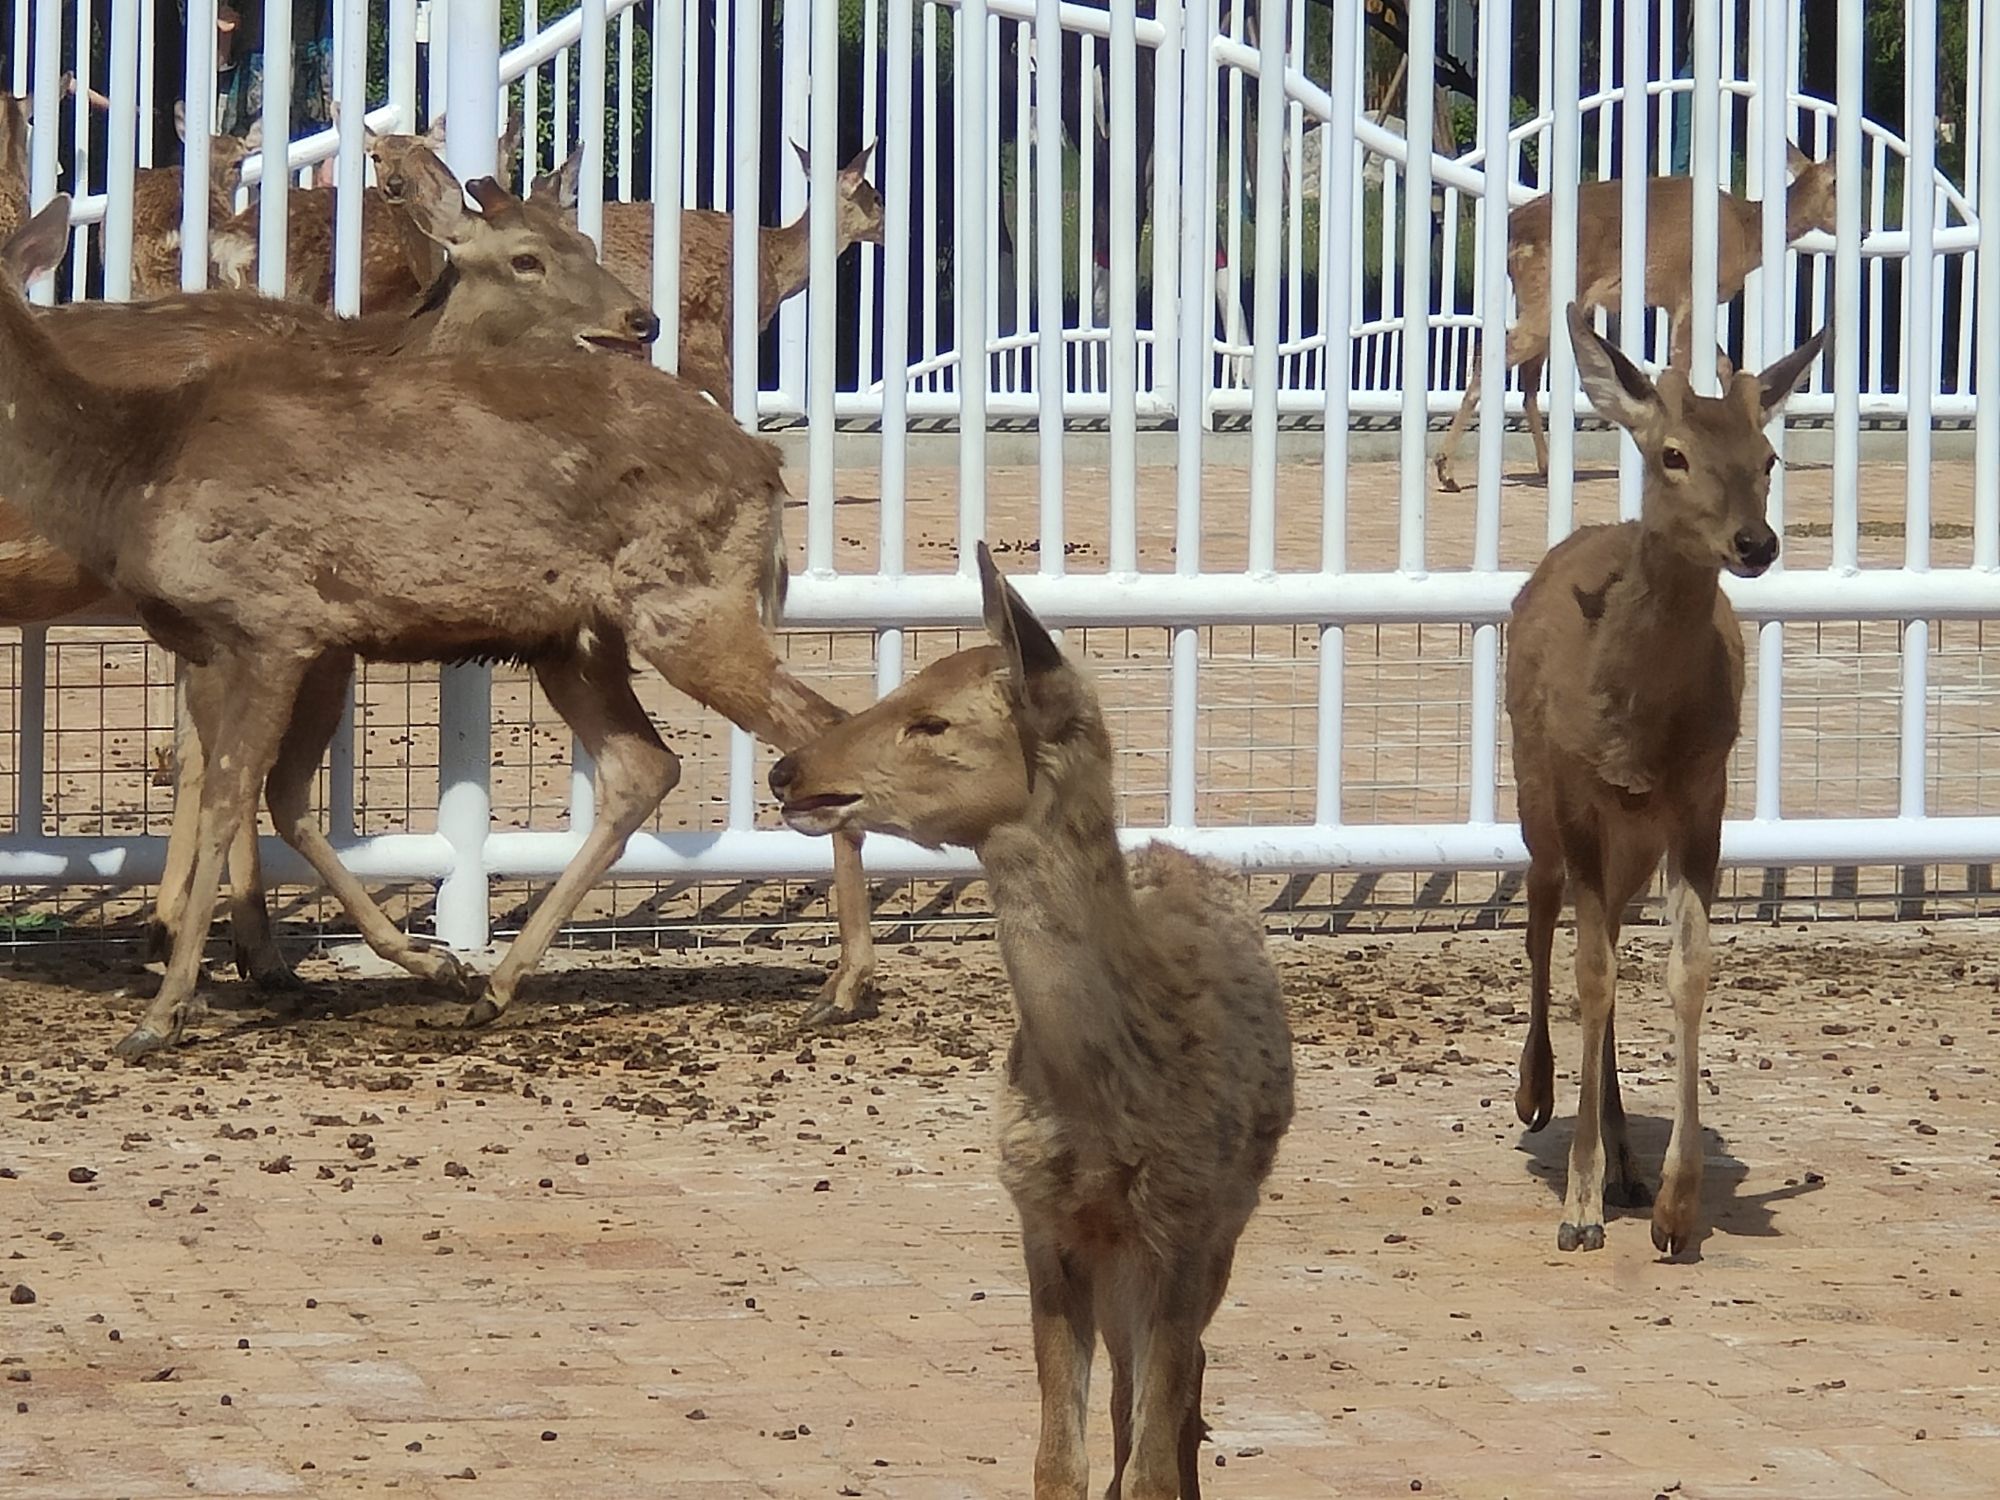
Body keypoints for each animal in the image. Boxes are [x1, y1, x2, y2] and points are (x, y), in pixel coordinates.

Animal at [0, 168, 662, 1003]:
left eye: (586, 241)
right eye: (526, 258)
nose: (641, 321)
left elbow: (204, 760)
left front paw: (191, 941)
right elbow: (224, 766)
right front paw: (241, 951)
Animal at [768, 543, 1295, 1498]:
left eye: (932, 721)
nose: (788, 771)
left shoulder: (1185, 1217)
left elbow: (1147, 1464)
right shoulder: (1041, 1219)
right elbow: (1060, 1461)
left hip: (1226, 1221)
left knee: (1181, 1386)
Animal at [1434, 146, 1838, 492]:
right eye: (1836, 182)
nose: (1852, 227)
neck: (1746, 236)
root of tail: (1513, 230)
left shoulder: (1673, 303)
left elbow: (1724, 364)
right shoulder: (1688, 294)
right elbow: (1682, 366)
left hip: (1540, 302)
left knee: (1527, 374)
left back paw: (1545, 467)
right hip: (1544, 297)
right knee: (1492, 353)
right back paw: (1446, 470)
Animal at [1505, 303, 1825, 1256]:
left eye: (1768, 457)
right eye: (1673, 453)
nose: (1755, 542)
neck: (1637, 727)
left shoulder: (1700, 800)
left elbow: (1686, 971)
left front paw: (1677, 1207)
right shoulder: (1577, 794)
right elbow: (1590, 975)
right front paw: (1575, 1210)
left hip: (1632, 844)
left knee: (1603, 928)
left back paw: (1627, 1166)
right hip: (1535, 798)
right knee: (1541, 917)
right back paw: (1536, 1095)